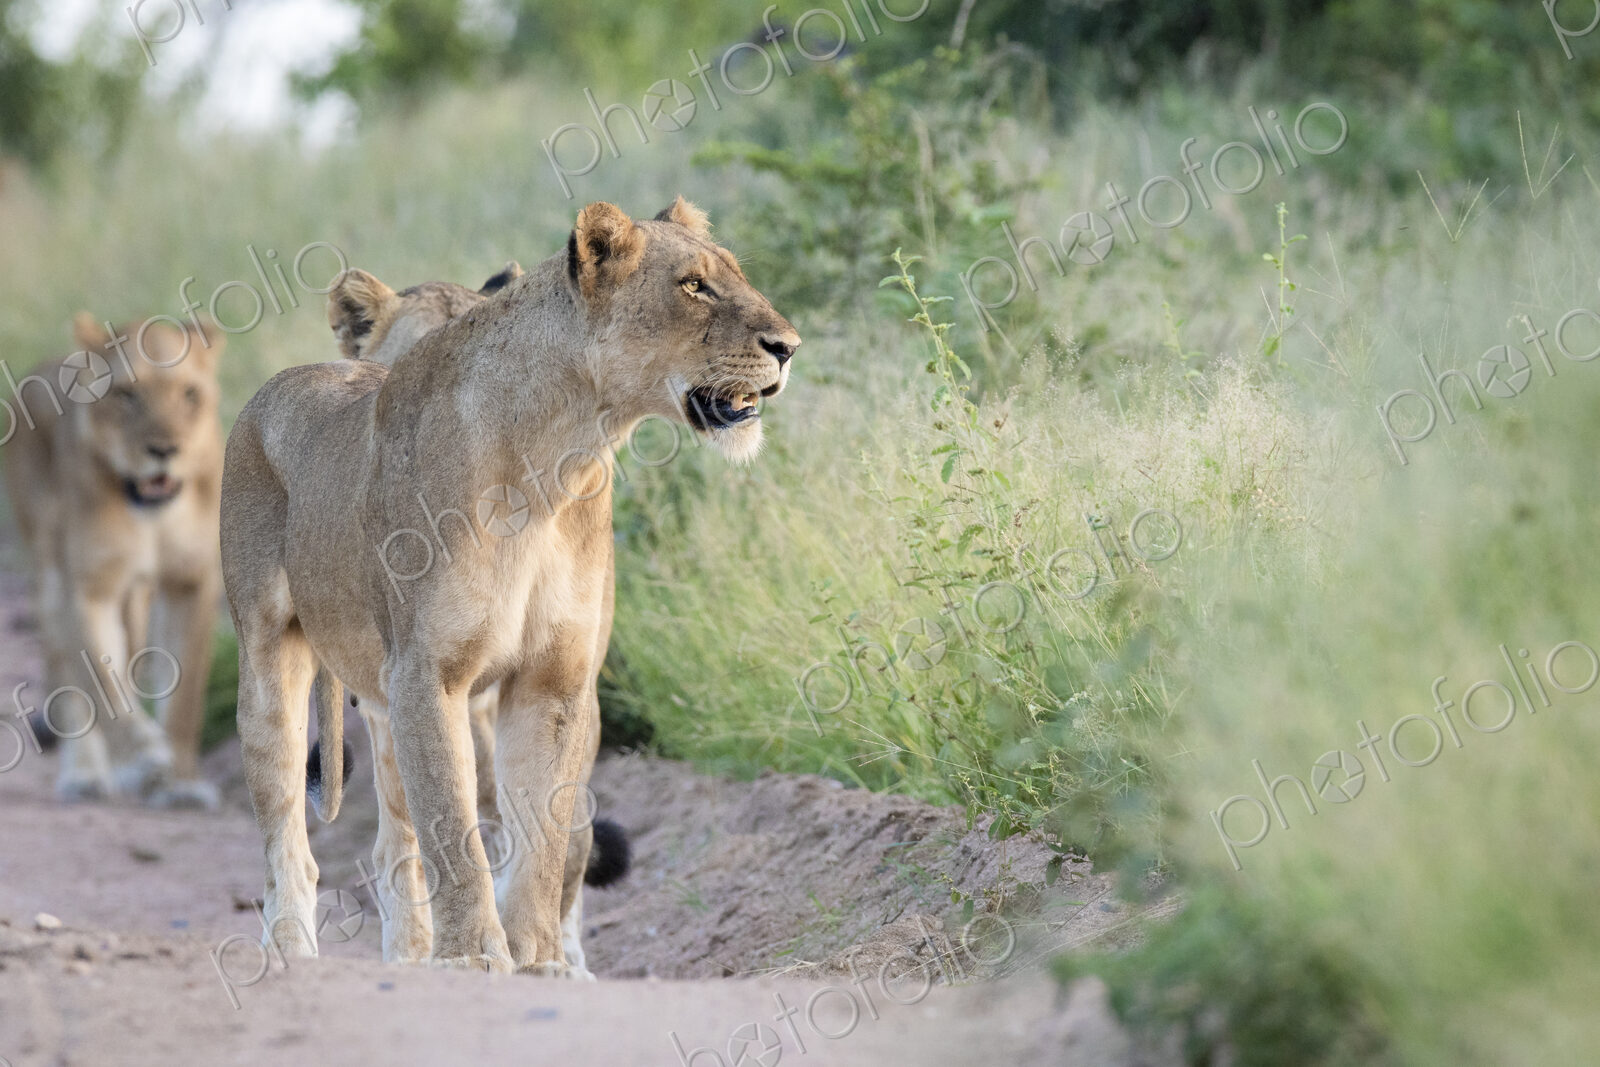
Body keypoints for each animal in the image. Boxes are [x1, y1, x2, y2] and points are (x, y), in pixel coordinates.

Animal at [1, 313, 226, 807]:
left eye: (190, 394)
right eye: (126, 395)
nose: (164, 451)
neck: (152, 513)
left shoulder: (191, 583)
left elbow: (185, 698)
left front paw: (181, 785)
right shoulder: (89, 589)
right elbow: (103, 683)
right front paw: (141, 759)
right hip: (49, 572)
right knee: (70, 671)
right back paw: (86, 775)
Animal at [221, 198, 798, 977]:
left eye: (730, 275)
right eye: (693, 286)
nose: (789, 345)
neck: (558, 457)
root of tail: (271, 389)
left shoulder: (555, 678)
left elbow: (544, 838)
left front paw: (539, 958)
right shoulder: (426, 673)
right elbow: (452, 826)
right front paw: (473, 956)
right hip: (272, 658)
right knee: (290, 829)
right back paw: (292, 953)